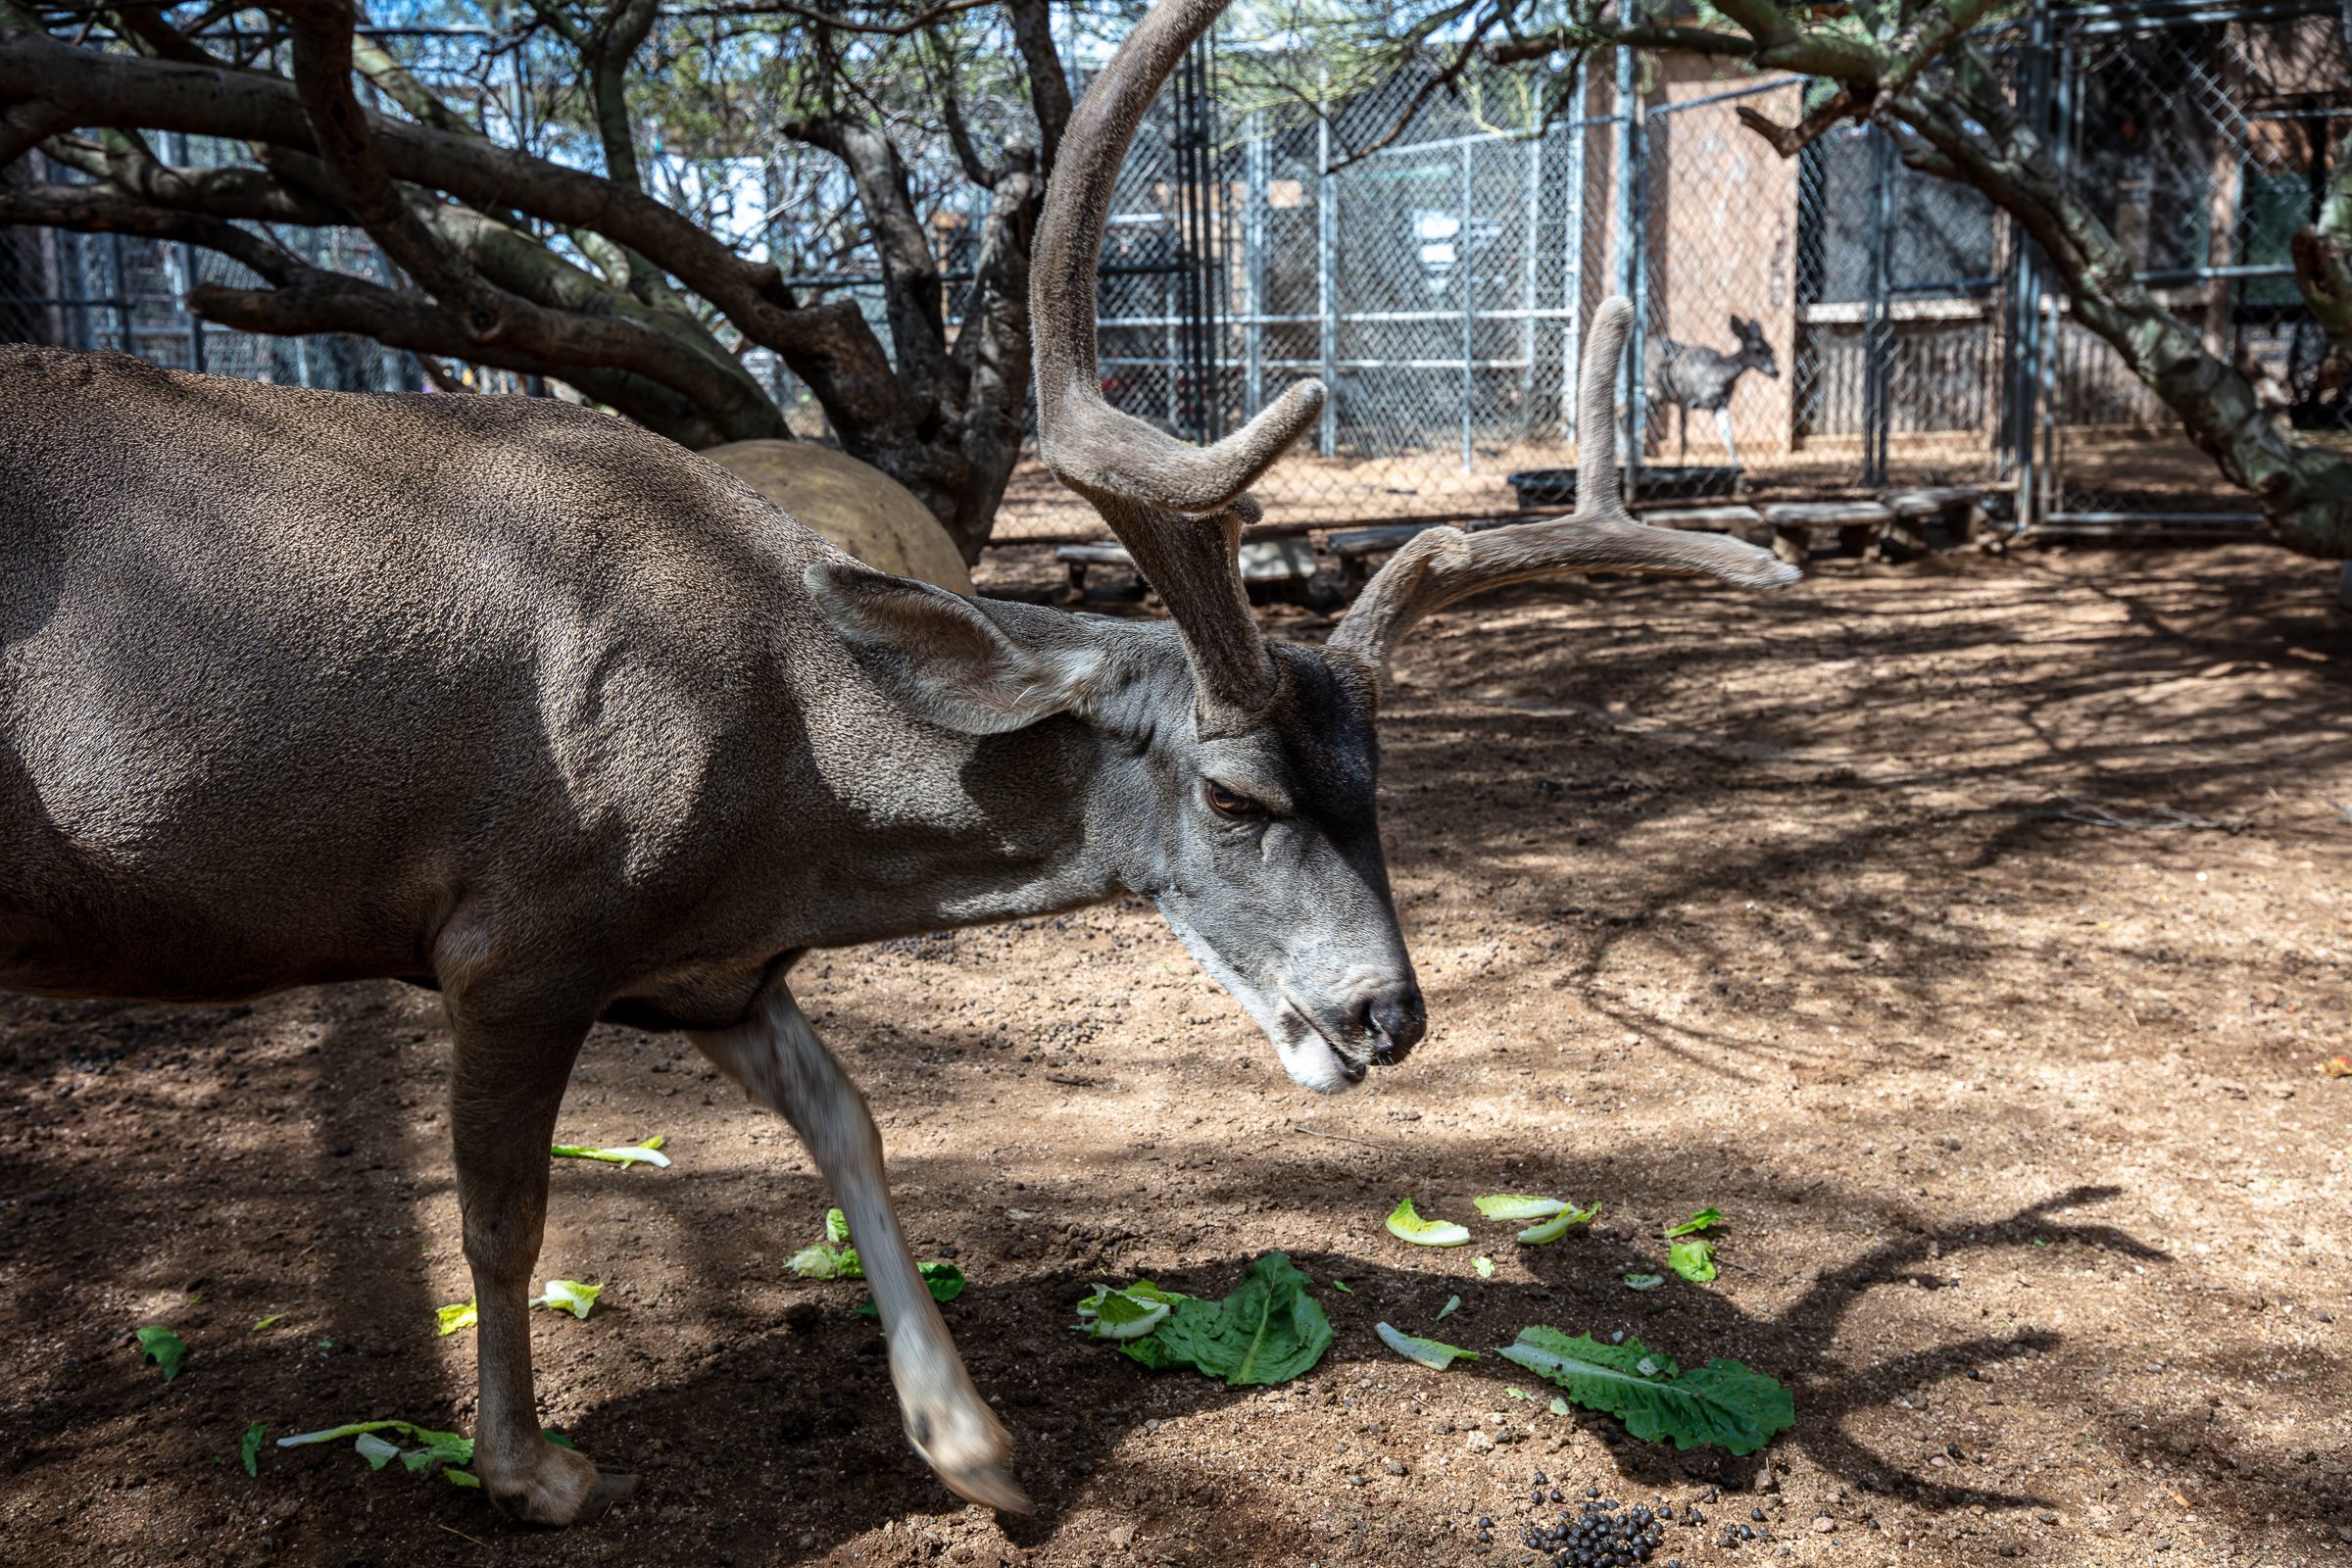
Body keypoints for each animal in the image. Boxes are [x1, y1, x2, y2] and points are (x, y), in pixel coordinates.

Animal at [1637, 315, 1778, 469]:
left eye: (1771, 349)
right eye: (1757, 350)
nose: (1776, 372)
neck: (1715, 373)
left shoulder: (1720, 405)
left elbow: (1728, 439)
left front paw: (1736, 467)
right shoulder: (1684, 399)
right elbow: (1684, 441)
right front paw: (1680, 465)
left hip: (1658, 398)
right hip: (1651, 392)